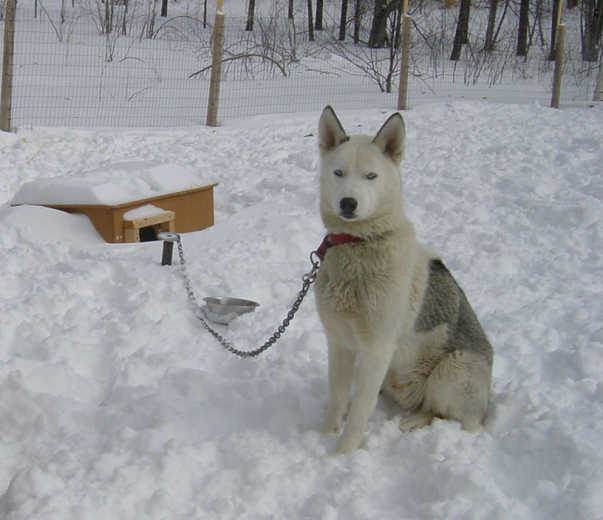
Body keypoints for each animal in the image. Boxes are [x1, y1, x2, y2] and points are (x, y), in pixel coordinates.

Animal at [314, 106, 494, 456]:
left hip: (451, 369)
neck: (359, 246)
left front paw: (341, 454)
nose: (348, 203)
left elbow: (361, 413)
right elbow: (337, 397)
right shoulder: (340, 342)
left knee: (453, 418)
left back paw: (414, 422)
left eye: (371, 176)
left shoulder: (377, 349)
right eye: (339, 172)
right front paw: (323, 435)